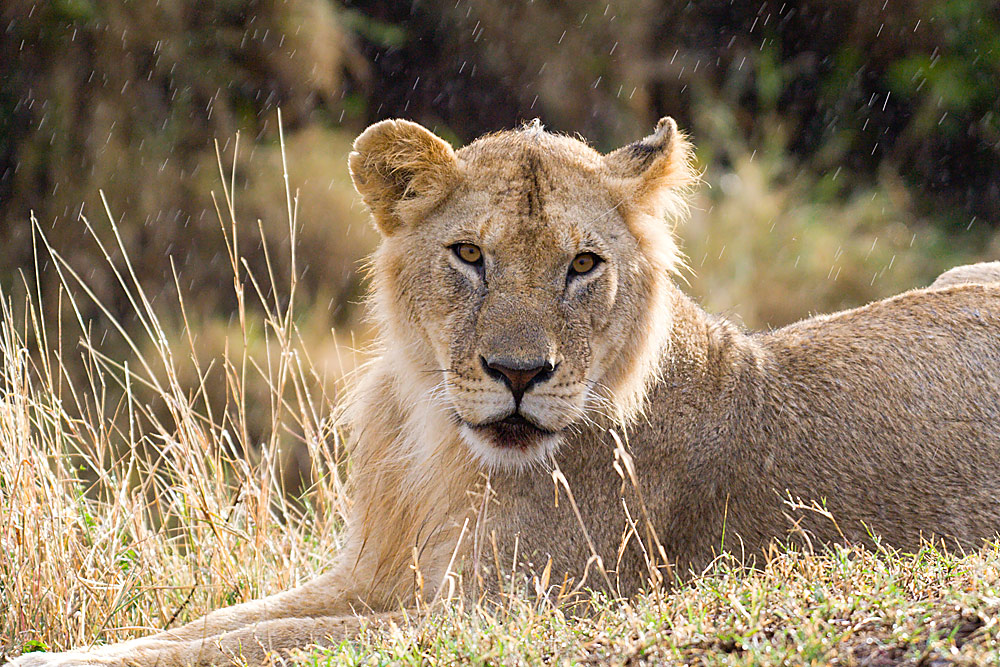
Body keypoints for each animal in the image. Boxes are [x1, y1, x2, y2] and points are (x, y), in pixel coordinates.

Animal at [7, 120, 1000, 667]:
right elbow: (224, 623)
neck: (435, 443)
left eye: (584, 265)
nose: (520, 375)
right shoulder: (374, 574)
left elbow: (254, 646)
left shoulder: (499, 608)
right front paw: (62, 649)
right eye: (469, 255)